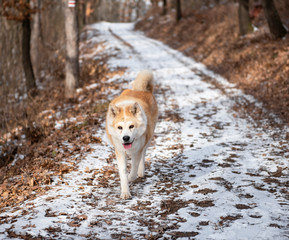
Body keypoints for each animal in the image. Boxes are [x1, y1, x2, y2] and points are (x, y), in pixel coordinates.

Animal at [105, 69, 156, 199]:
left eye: (131, 126)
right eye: (119, 127)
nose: (126, 138)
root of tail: (141, 89)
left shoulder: (137, 151)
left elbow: (133, 170)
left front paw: (131, 177)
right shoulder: (120, 152)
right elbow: (123, 173)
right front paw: (125, 192)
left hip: (148, 139)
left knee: (143, 155)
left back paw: (141, 172)